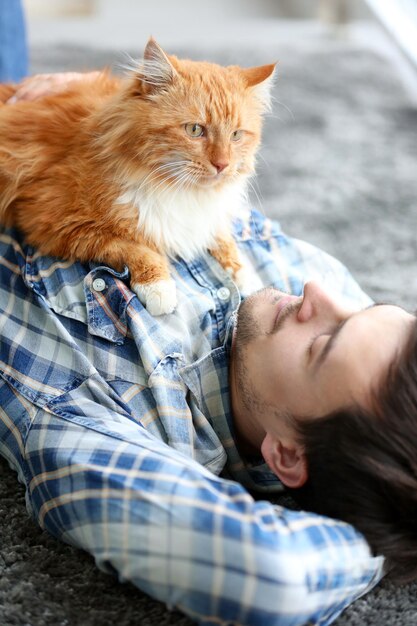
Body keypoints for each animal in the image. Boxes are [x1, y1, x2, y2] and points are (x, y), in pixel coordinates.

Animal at [0, 36, 274, 314]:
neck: (178, 188)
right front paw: (159, 288)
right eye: (195, 130)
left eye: (236, 135)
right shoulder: (57, 224)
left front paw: (247, 276)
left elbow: (224, 240)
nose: (222, 165)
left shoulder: (207, 216)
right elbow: (135, 248)